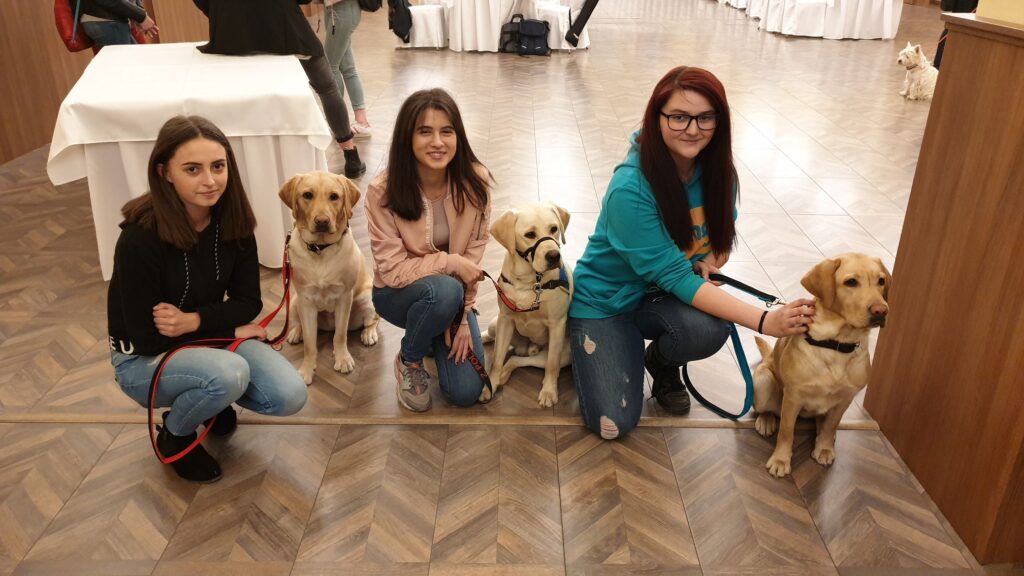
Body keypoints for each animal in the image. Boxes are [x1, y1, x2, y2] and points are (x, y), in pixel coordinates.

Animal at [278, 172, 378, 383]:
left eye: (334, 196)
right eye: (307, 195)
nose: (322, 221)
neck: (320, 249)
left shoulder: (344, 297)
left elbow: (340, 335)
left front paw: (343, 359)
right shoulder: (306, 301)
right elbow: (310, 344)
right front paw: (307, 369)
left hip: (366, 298)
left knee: (373, 319)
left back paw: (369, 333)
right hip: (295, 302)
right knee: (301, 324)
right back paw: (296, 332)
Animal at [481, 200, 573, 403]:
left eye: (554, 229)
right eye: (530, 235)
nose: (554, 256)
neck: (530, 282)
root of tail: (528, 347)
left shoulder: (557, 324)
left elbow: (552, 365)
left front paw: (549, 391)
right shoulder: (505, 319)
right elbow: (497, 359)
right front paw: (489, 385)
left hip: (564, 354)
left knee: (518, 360)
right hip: (495, 324)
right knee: (498, 343)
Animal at [753, 253, 888, 477]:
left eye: (881, 281)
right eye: (851, 282)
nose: (881, 311)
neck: (836, 344)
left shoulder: (845, 399)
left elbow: (832, 424)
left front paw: (824, 447)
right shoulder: (793, 396)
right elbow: (786, 430)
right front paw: (780, 460)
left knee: (823, 423)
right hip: (764, 381)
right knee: (768, 409)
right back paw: (766, 420)